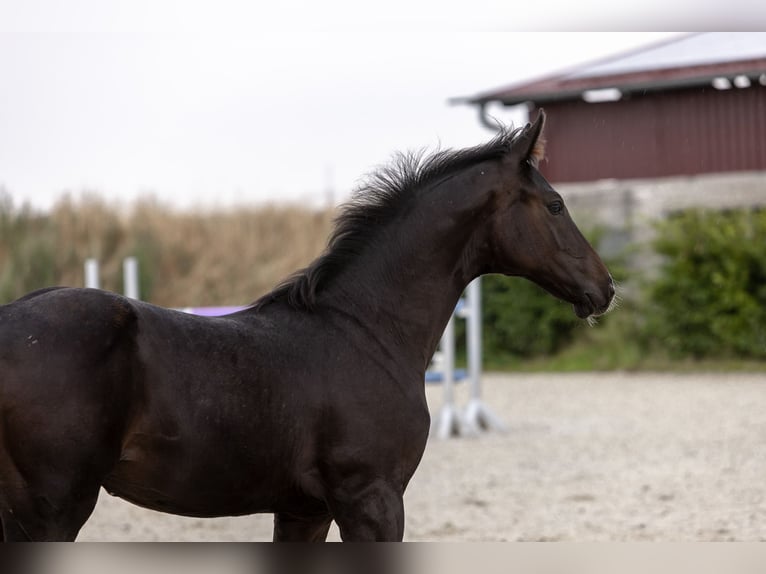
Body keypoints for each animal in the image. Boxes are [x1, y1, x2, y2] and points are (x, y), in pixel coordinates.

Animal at [0, 110, 614, 541]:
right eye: (555, 205)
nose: (605, 288)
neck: (366, 330)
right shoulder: (373, 500)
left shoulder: (304, 510)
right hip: (53, 507)